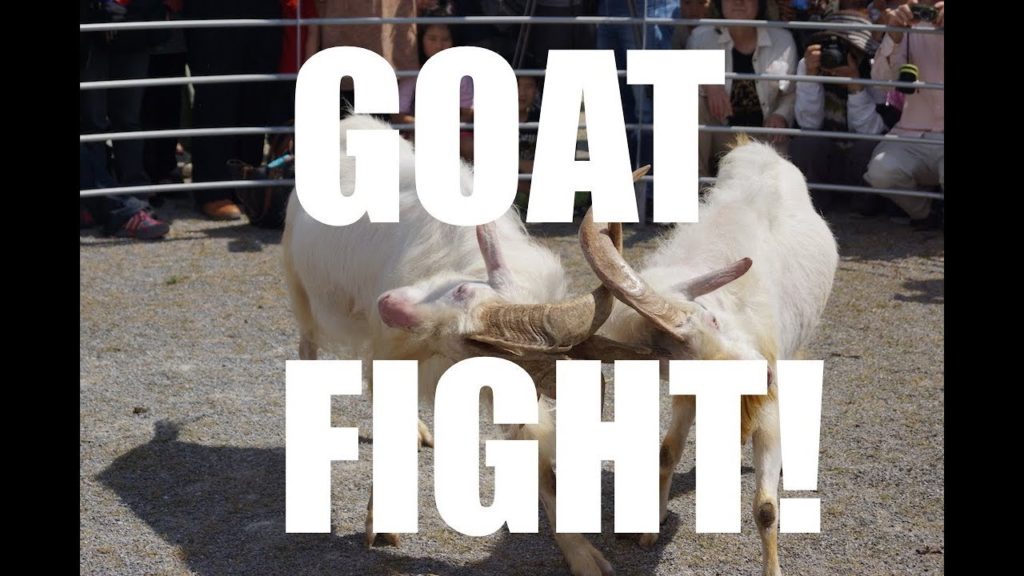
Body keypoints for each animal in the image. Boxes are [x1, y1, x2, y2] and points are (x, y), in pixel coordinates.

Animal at [282, 114, 638, 575]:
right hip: (301, 286)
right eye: (463, 291)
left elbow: (540, 463)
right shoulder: (390, 346)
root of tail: (355, 121)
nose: (391, 306)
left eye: (466, 350)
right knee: (308, 346)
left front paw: (583, 555)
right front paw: (382, 522)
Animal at [578, 138, 839, 576]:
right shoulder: (687, 393)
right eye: (669, 362)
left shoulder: (769, 392)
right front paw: (650, 528)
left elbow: (766, 507)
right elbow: (666, 452)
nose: (760, 376)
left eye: (710, 318)